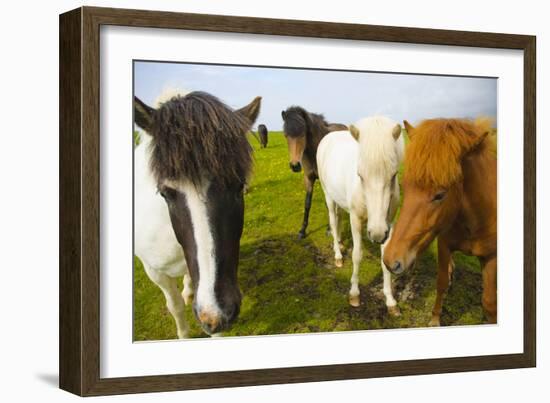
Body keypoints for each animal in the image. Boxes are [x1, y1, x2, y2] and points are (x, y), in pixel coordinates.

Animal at [282, 106, 348, 240]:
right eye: (286, 135)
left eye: (303, 134)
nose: (295, 165)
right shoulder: (308, 178)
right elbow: (307, 203)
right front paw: (302, 230)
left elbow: (328, 205)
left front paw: (329, 229)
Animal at [320, 115, 406, 314]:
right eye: (360, 175)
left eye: (393, 175)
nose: (377, 234)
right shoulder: (356, 220)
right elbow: (357, 255)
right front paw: (354, 294)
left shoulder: (388, 224)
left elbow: (385, 259)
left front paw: (390, 300)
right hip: (328, 195)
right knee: (333, 221)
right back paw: (338, 255)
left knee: (338, 218)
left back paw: (340, 244)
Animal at [384, 117, 500, 326]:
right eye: (404, 185)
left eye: (440, 195)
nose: (390, 261)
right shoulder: (444, 245)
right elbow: (441, 283)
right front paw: (435, 319)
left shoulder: (491, 257)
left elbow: (489, 301)